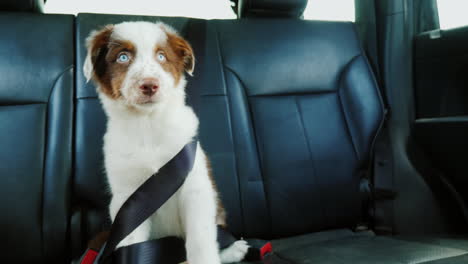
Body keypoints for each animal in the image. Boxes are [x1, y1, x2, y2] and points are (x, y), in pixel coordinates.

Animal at [83, 21, 249, 264]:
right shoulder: (128, 197)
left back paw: (234, 250)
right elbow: (131, 241)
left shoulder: (195, 188)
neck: (149, 124)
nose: (149, 85)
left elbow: (200, 239)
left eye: (161, 56)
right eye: (123, 57)